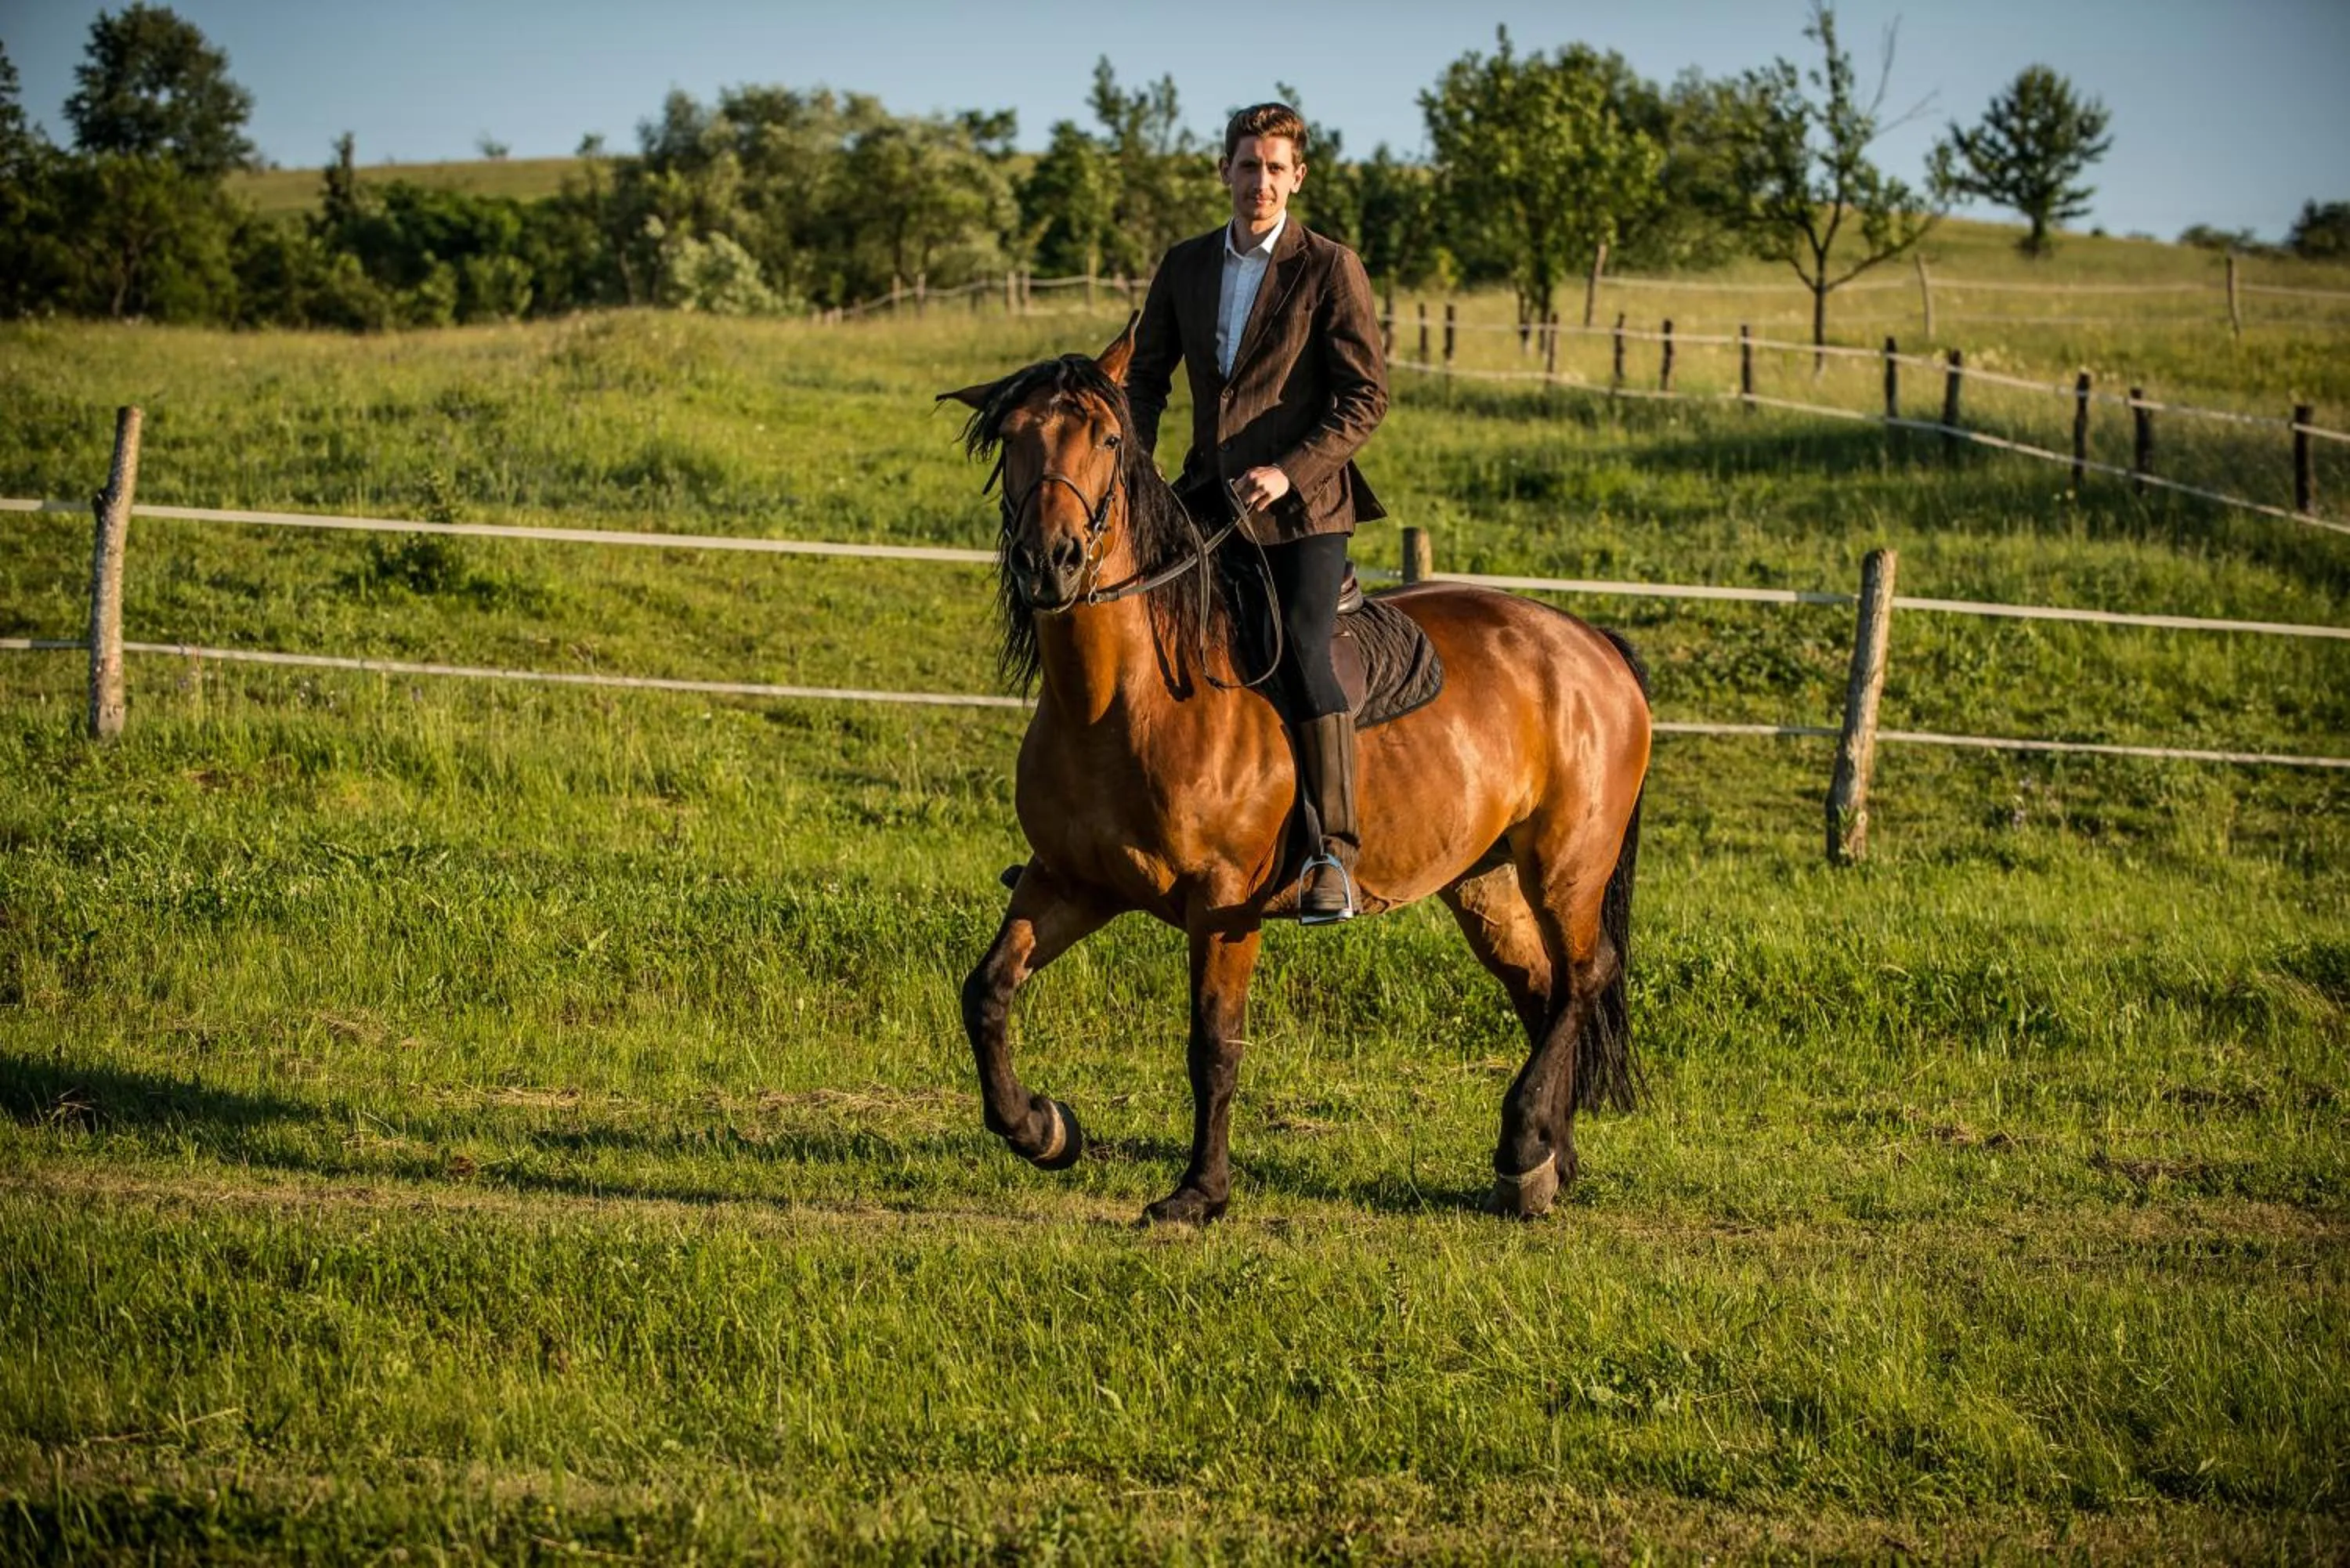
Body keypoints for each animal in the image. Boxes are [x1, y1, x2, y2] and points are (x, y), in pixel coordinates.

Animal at [940, 321, 1652, 1224]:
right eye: (1010, 436)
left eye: (1105, 437)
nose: (1051, 562)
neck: (1123, 700)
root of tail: (1593, 644)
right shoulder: (1069, 880)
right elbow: (986, 991)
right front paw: (1042, 1128)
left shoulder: (1222, 907)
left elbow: (1214, 1045)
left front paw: (1199, 1193)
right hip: (1485, 881)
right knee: (1541, 986)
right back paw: (1545, 1163)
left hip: (1567, 863)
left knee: (1586, 976)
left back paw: (1526, 1145)